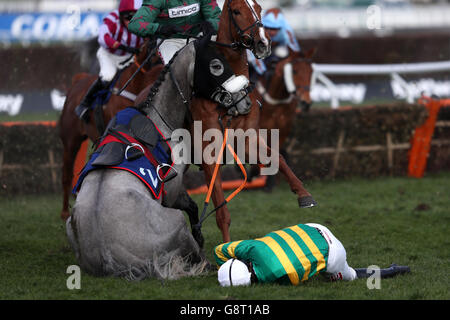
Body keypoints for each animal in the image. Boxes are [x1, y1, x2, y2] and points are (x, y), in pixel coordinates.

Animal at [192, 0, 318, 242]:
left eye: (259, 8)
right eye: (236, 11)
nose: (263, 42)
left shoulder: (256, 135)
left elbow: (277, 156)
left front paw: (302, 193)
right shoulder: (210, 151)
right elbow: (221, 211)